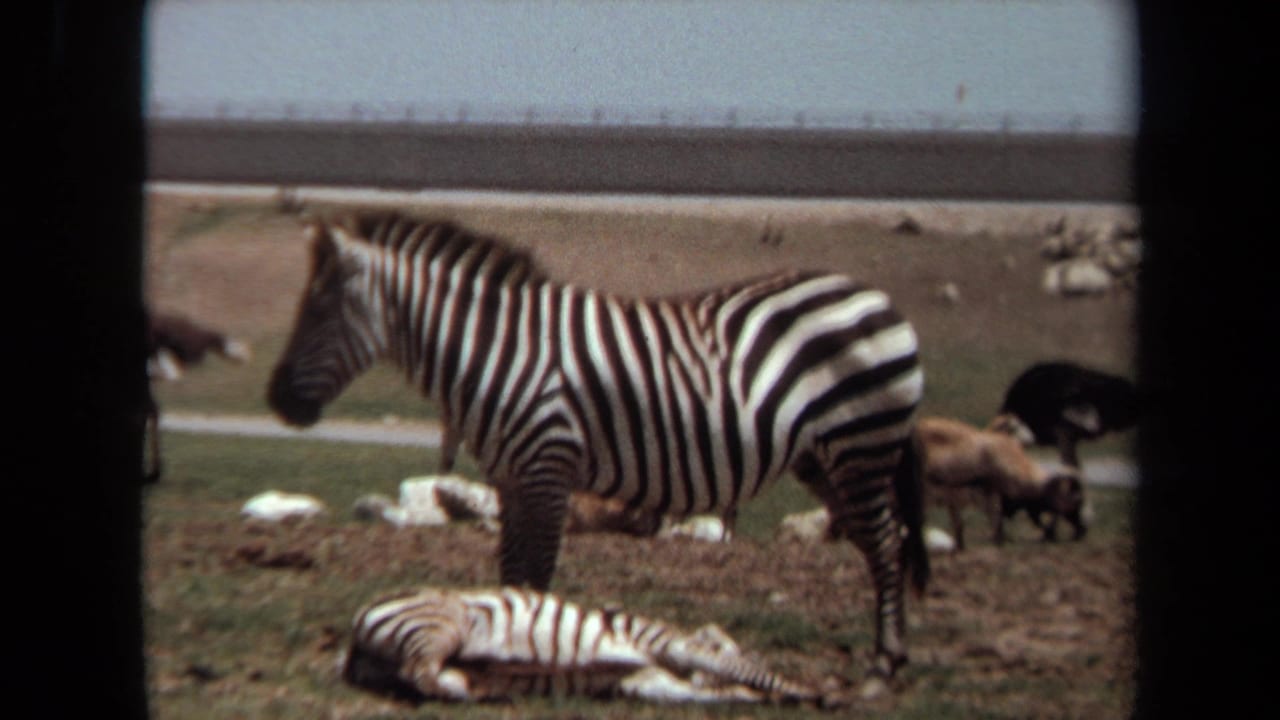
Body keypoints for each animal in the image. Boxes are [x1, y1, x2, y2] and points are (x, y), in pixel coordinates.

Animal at [267, 211, 929, 677]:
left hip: (862, 443)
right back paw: (888, 651)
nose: (277, 402)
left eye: (319, 310)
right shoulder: (511, 478)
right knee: (877, 543)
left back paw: (887, 661)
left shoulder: (548, 467)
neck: (498, 354)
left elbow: (535, 575)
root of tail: (877, 297)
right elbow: (510, 575)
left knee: (886, 543)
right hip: (825, 457)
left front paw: (532, 644)